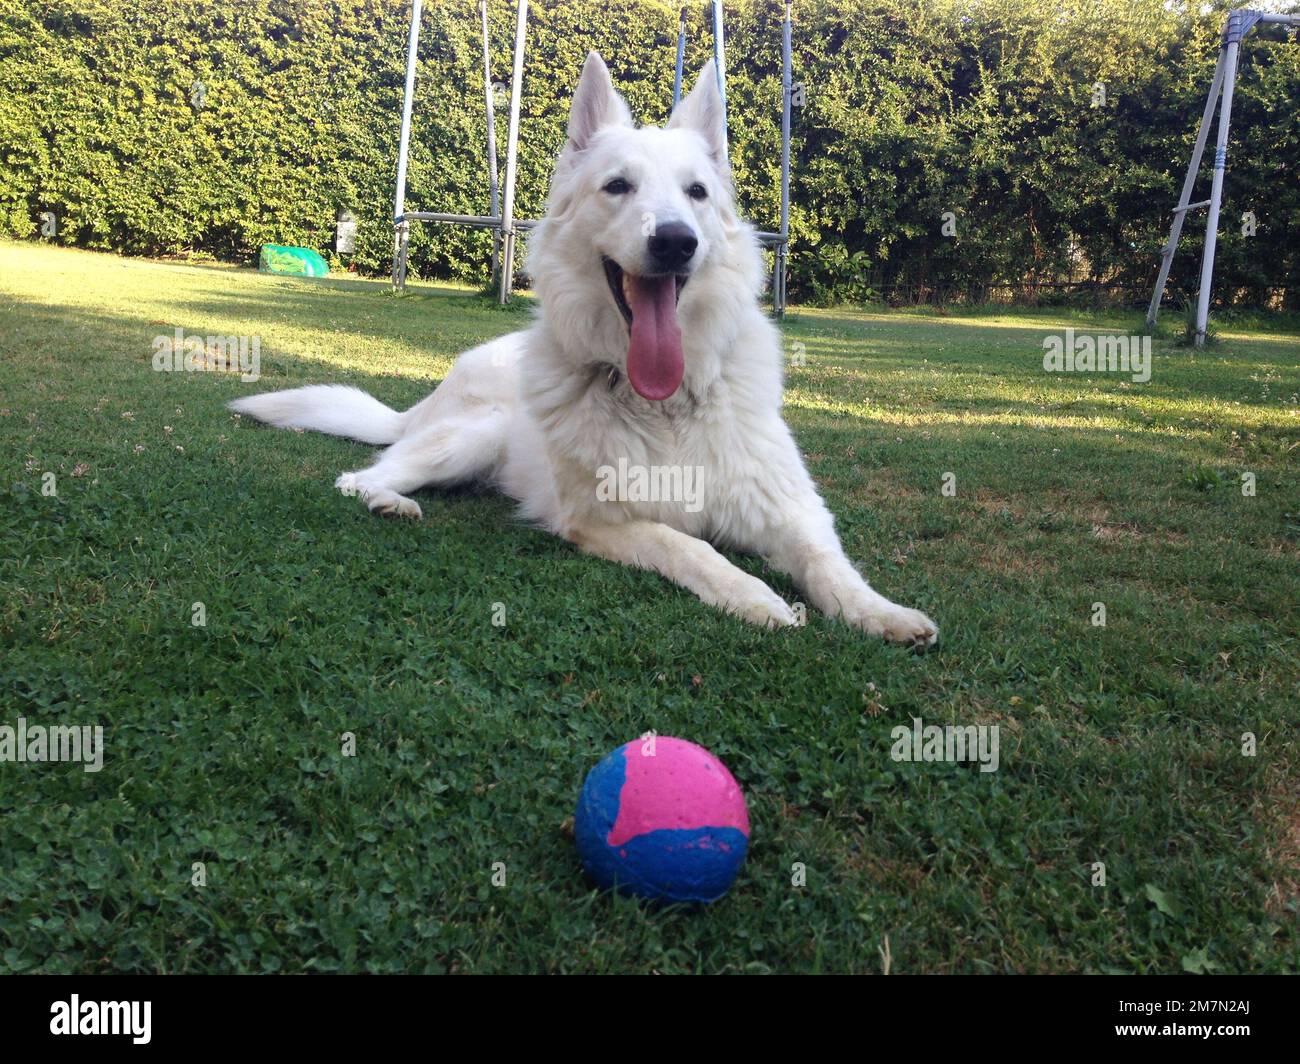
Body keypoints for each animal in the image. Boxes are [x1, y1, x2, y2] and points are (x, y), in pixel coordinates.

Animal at [231, 57, 935, 642]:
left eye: (697, 193)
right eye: (618, 186)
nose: (675, 241)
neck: (664, 404)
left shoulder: (791, 510)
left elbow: (829, 565)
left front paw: (884, 613)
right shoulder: (603, 522)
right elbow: (693, 547)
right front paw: (755, 596)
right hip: (474, 436)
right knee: (364, 473)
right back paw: (387, 500)